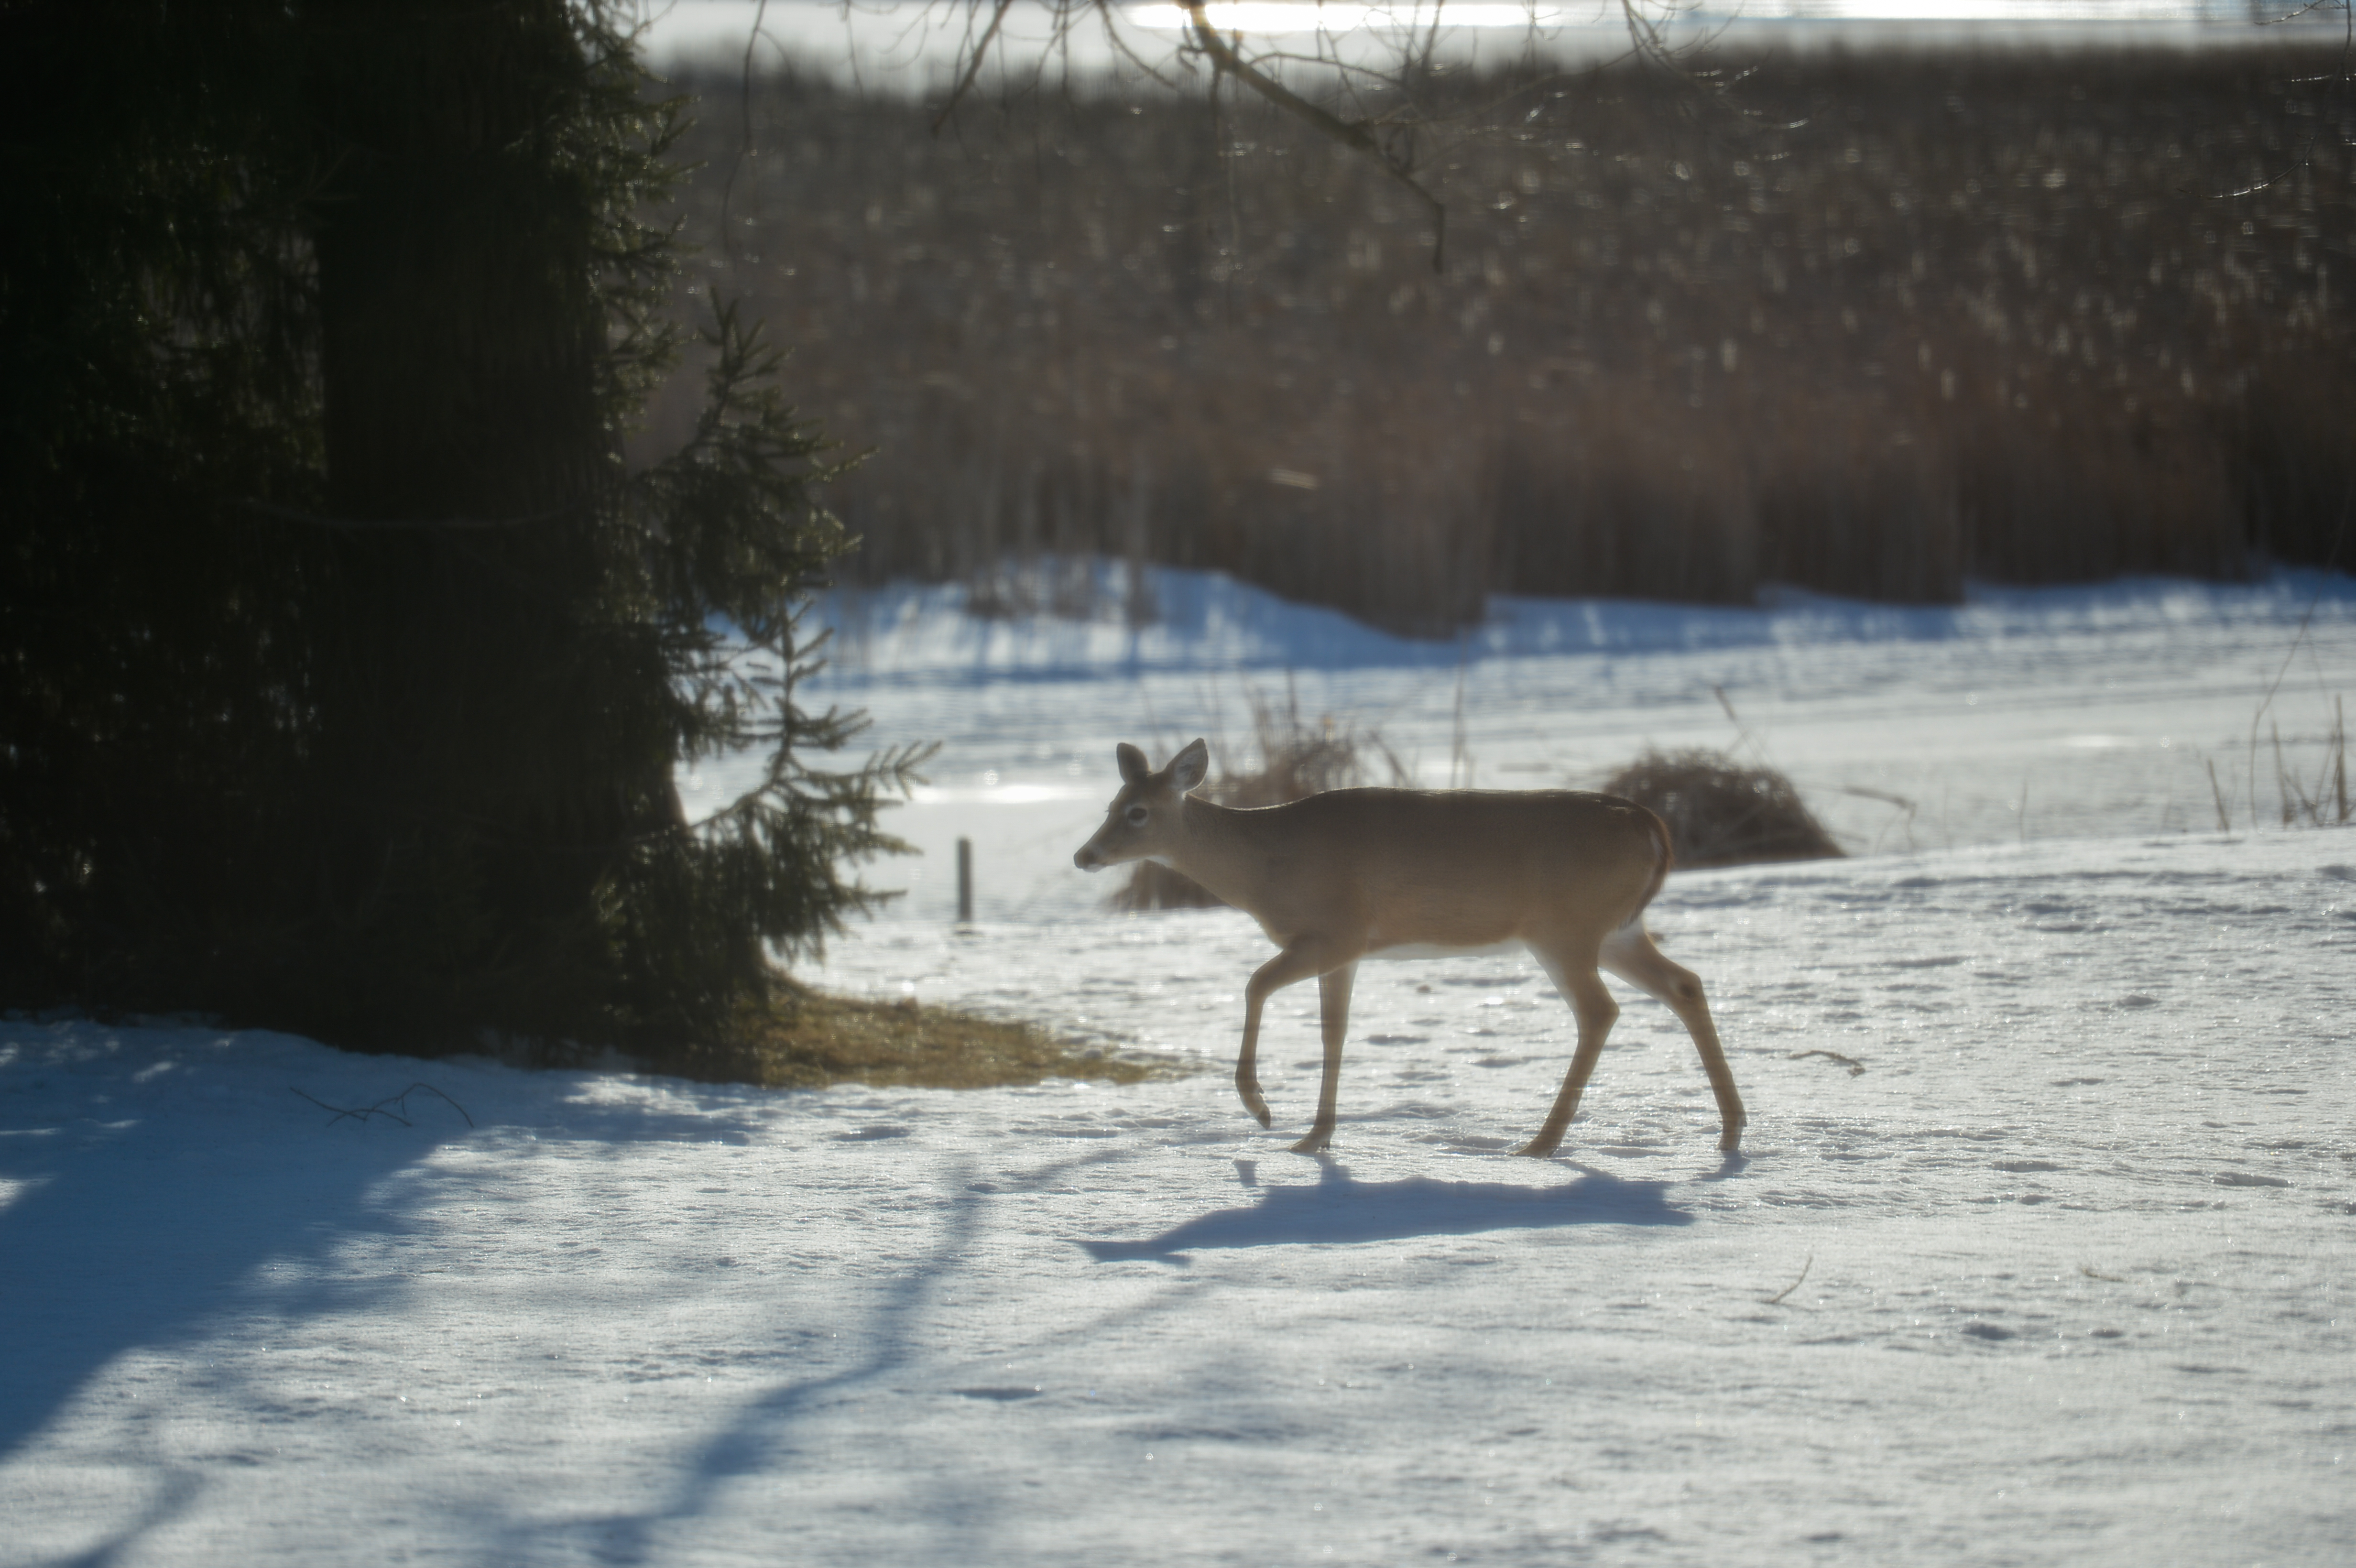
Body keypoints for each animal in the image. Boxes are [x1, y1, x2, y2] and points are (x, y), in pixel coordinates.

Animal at [1072, 739, 1744, 1158]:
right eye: (1109, 804)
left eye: (1136, 812)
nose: (1084, 855)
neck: (1265, 865)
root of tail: (1652, 826)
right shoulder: (1343, 950)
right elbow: (1333, 1032)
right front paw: (1316, 1136)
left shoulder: (1337, 928)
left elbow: (1254, 983)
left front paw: (1260, 1108)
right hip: (1616, 929)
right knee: (1684, 984)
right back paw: (1731, 1130)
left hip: (1565, 930)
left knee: (1599, 1011)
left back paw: (1541, 1142)